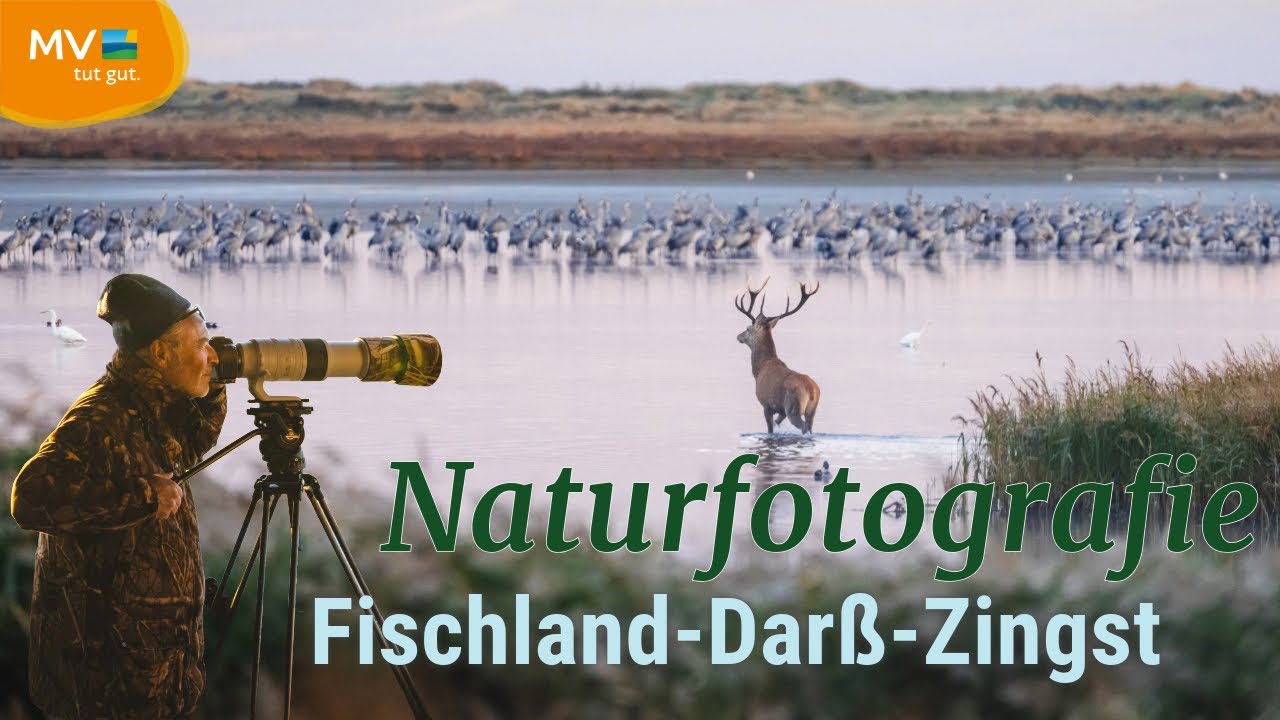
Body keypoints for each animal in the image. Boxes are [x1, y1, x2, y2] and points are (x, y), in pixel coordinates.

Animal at [735, 278, 821, 434]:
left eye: (748, 328)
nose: (738, 336)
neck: (759, 369)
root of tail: (812, 390)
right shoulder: (781, 411)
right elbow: (777, 423)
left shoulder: (766, 405)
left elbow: (770, 428)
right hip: (812, 410)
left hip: (793, 406)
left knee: (803, 426)